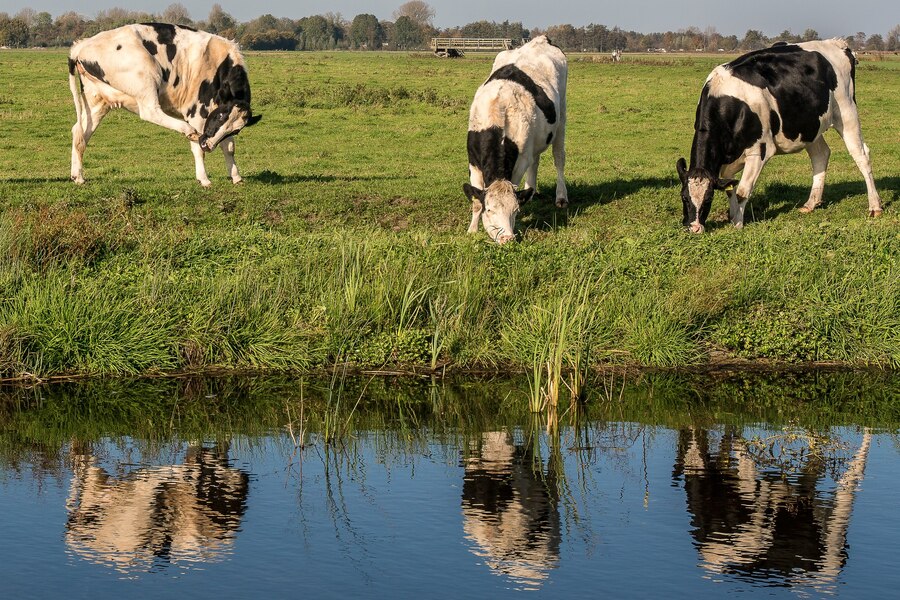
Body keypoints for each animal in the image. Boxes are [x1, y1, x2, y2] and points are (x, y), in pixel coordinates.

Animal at [68, 23, 262, 186]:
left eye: (236, 131)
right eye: (220, 115)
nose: (208, 145)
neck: (219, 63)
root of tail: (81, 45)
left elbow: (229, 147)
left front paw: (236, 177)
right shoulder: (197, 112)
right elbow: (198, 149)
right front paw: (204, 179)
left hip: (97, 100)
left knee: (80, 131)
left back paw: (78, 176)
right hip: (147, 76)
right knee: (150, 111)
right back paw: (187, 130)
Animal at [460, 35, 568, 244]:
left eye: (515, 210)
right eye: (490, 210)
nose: (507, 238)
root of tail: (541, 39)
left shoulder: (520, 161)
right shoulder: (473, 161)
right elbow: (476, 200)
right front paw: (472, 230)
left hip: (561, 119)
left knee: (559, 158)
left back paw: (561, 197)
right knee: (536, 161)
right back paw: (531, 192)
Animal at [680, 38, 884, 233]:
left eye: (708, 198)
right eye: (684, 197)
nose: (694, 228)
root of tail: (837, 43)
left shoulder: (760, 151)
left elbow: (742, 191)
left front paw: (737, 224)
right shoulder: (728, 160)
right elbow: (731, 189)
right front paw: (732, 216)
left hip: (847, 112)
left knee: (861, 155)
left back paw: (875, 206)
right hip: (810, 125)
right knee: (821, 155)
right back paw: (811, 204)